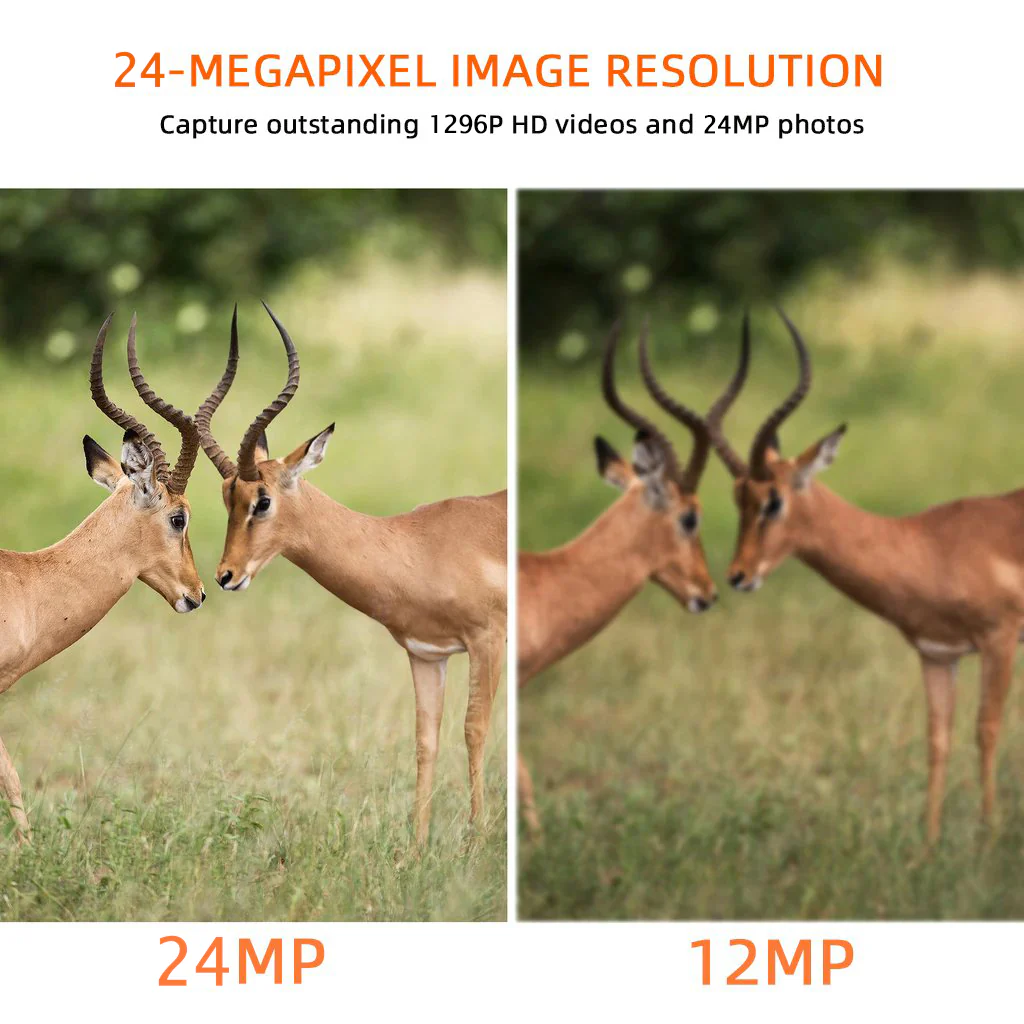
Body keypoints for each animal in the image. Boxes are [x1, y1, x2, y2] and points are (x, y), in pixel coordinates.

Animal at [194, 304, 507, 847]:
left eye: (262, 500)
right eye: (225, 497)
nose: (225, 576)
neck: (419, 545)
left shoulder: (487, 640)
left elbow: (474, 729)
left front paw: (477, 841)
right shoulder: (427, 654)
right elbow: (425, 740)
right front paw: (415, 851)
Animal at [709, 308, 1024, 844]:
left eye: (774, 500)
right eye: (737, 498)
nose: (738, 575)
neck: (931, 546)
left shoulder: (999, 640)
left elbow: (986, 730)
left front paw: (987, 838)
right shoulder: (937, 654)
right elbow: (937, 739)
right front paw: (928, 847)